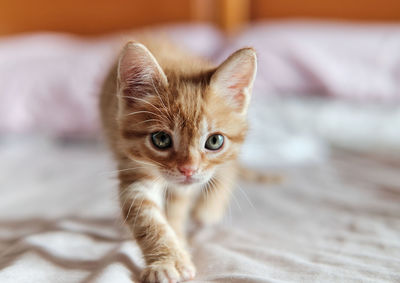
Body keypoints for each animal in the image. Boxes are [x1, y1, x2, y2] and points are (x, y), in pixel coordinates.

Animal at [99, 39, 256, 283]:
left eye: (214, 141)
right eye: (161, 139)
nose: (188, 170)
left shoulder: (186, 185)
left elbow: (176, 209)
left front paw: (177, 244)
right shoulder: (133, 166)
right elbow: (147, 217)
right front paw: (168, 260)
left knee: (230, 167)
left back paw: (209, 209)